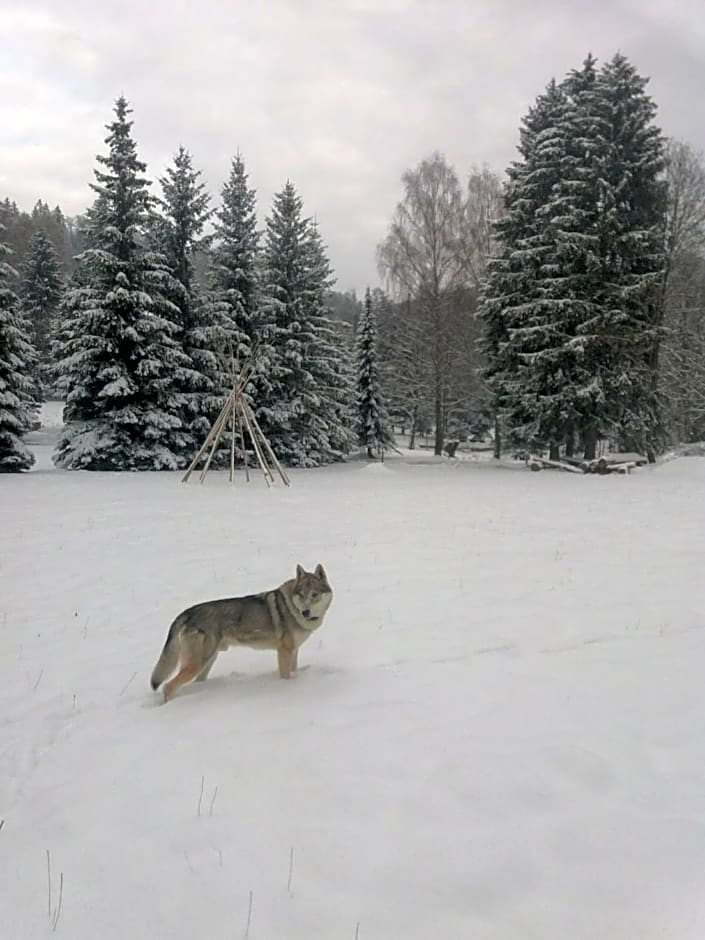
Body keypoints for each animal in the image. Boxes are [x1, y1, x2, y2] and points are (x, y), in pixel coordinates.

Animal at [151, 560, 332, 700]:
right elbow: (285, 675)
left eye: (314, 594)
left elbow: (294, 671)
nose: (305, 612)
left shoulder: (293, 650)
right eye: (301, 594)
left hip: (207, 662)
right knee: (168, 686)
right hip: (197, 664)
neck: (291, 608)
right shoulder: (284, 651)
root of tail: (187, 612)